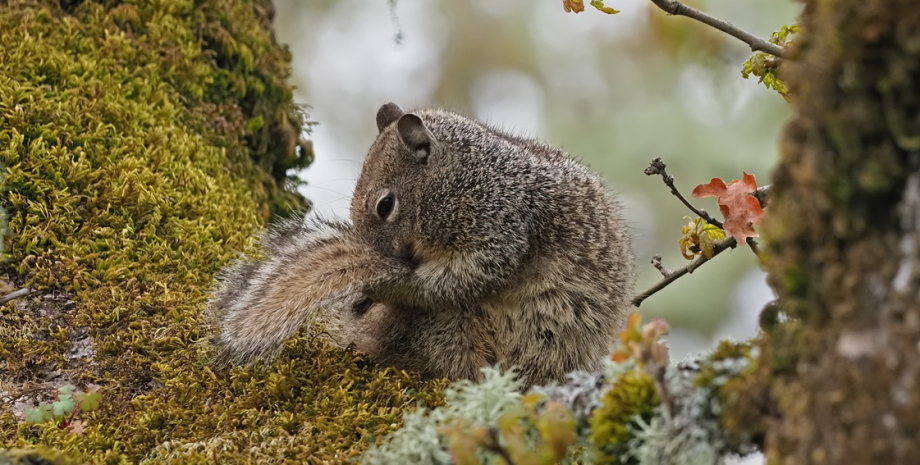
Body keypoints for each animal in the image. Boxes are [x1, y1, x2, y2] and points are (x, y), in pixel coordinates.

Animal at [208, 103, 632, 386]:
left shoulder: (498, 224)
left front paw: (386, 284)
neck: (461, 177)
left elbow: (460, 278)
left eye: (385, 205)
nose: (377, 255)